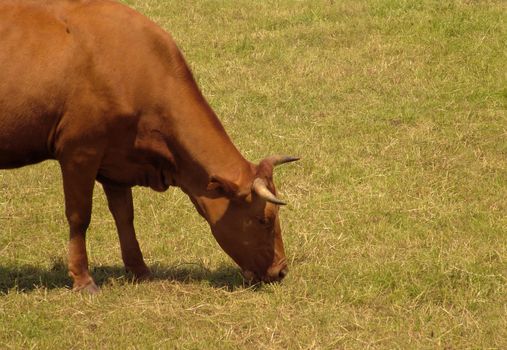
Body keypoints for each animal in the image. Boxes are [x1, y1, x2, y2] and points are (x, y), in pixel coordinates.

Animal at [0, 0, 300, 292]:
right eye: (265, 219)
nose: (281, 271)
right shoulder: (79, 152)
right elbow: (79, 216)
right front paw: (83, 279)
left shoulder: (116, 159)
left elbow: (125, 215)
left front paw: (140, 270)